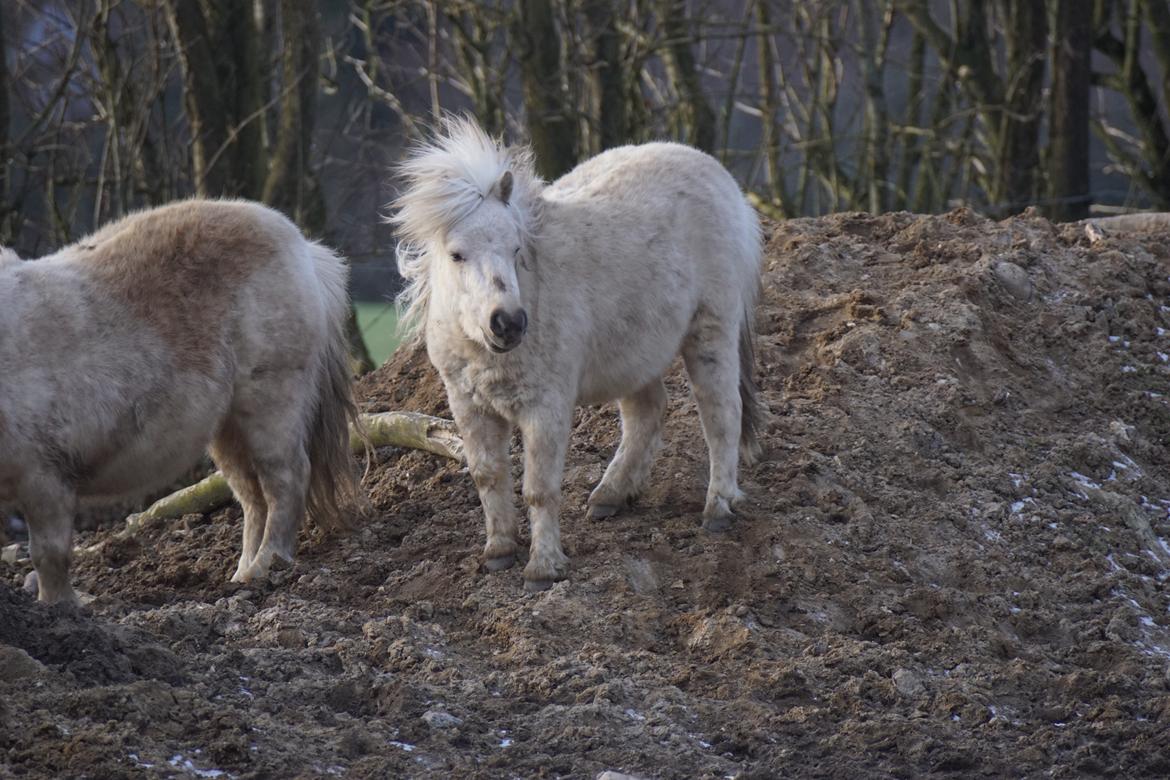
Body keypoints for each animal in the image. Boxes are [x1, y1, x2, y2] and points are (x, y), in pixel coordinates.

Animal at [0, 199, 360, 603]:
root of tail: (304, 249)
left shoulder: (46, 477)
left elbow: (49, 554)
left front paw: (59, 608)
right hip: (227, 430)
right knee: (253, 498)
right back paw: (241, 575)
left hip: (271, 405)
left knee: (285, 481)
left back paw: (267, 565)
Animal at [388, 119, 762, 589]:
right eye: (456, 254)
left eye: (516, 249)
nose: (508, 323)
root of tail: (724, 181)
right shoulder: (469, 406)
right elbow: (488, 477)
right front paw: (499, 551)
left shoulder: (545, 408)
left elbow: (539, 489)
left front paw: (543, 568)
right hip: (636, 354)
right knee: (646, 414)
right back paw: (610, 496)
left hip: (710, 334)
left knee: (722, 415)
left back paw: (718, 507)